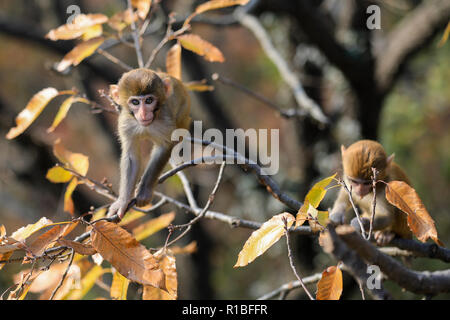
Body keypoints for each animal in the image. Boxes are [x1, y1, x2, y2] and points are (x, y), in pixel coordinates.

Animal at [108, 67, 191, 218]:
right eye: (135, 102)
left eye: (149, 100)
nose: (144, 114)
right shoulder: (125, 123)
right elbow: (131, 157)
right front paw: (122, 201)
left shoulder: (165, 121)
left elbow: (164, 148)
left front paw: (144, 192)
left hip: (184, 111)